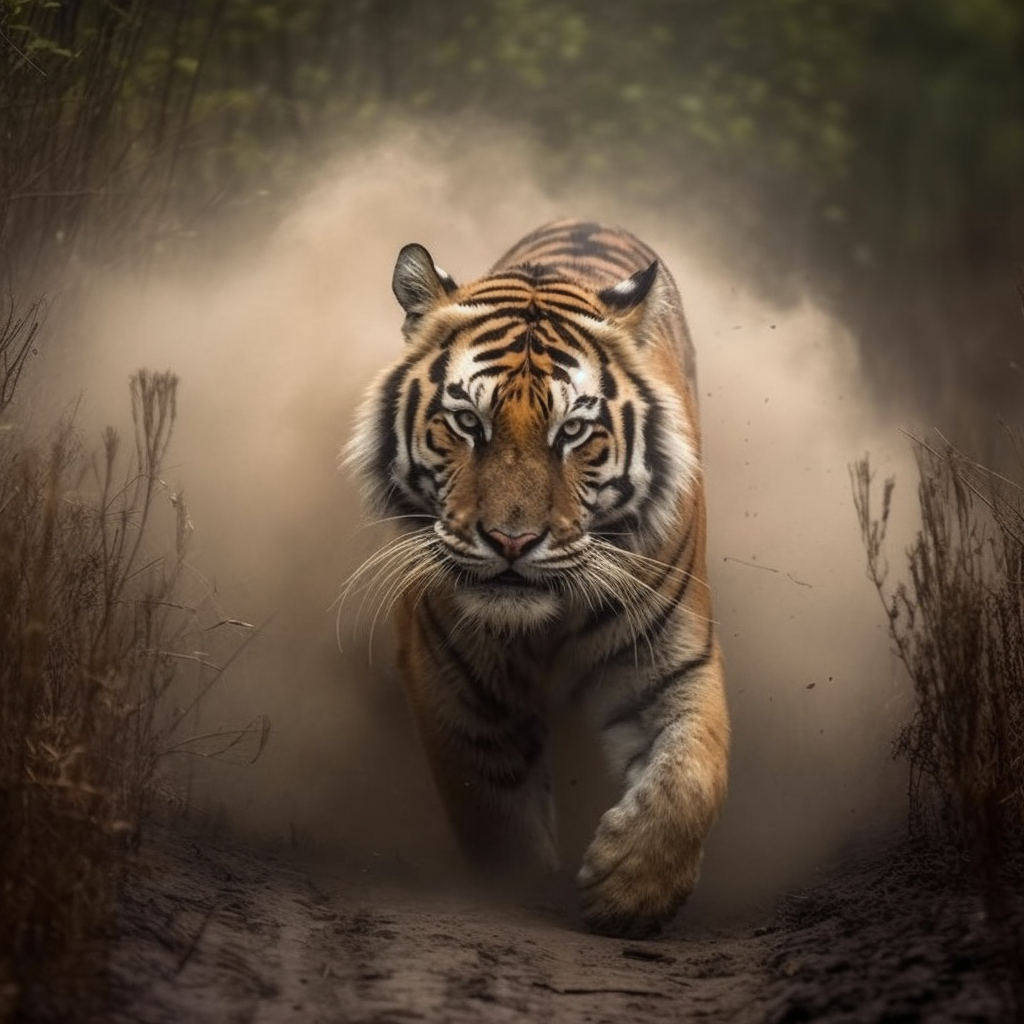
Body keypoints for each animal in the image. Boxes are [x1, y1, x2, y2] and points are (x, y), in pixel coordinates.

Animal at [345, 219, 729, 938]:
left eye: (573, 430)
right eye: (468, 422)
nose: (512, 541)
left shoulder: (668, 657)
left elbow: (696, 769)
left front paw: (631, 891)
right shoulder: (453, 677)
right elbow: (494, 815)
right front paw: (516, 896)